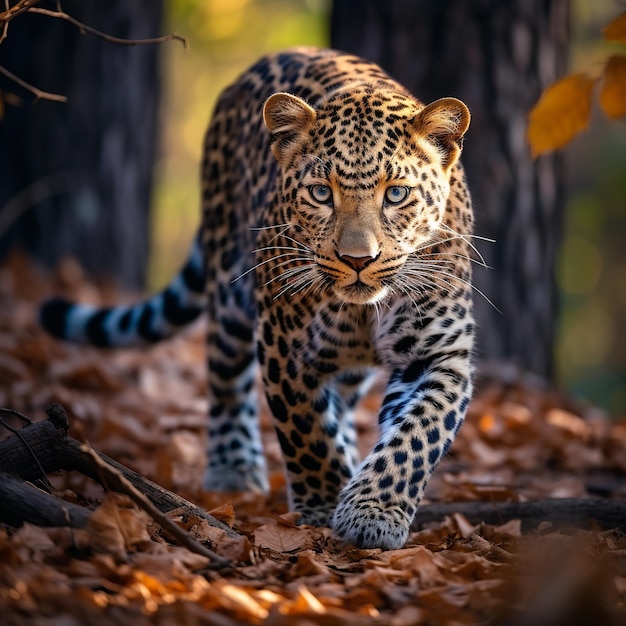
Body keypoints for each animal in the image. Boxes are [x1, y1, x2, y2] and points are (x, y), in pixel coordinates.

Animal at [40, 46, 472, 548]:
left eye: (397, 194)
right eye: (321, 193)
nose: (357, 259)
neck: (364, 311)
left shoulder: (440, 355)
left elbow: (417, 436)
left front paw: (373, 512)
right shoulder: (286, 343)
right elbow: (306, 431)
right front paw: (322, 504)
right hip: (229, 294)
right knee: (227, 380)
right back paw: (234, 469)